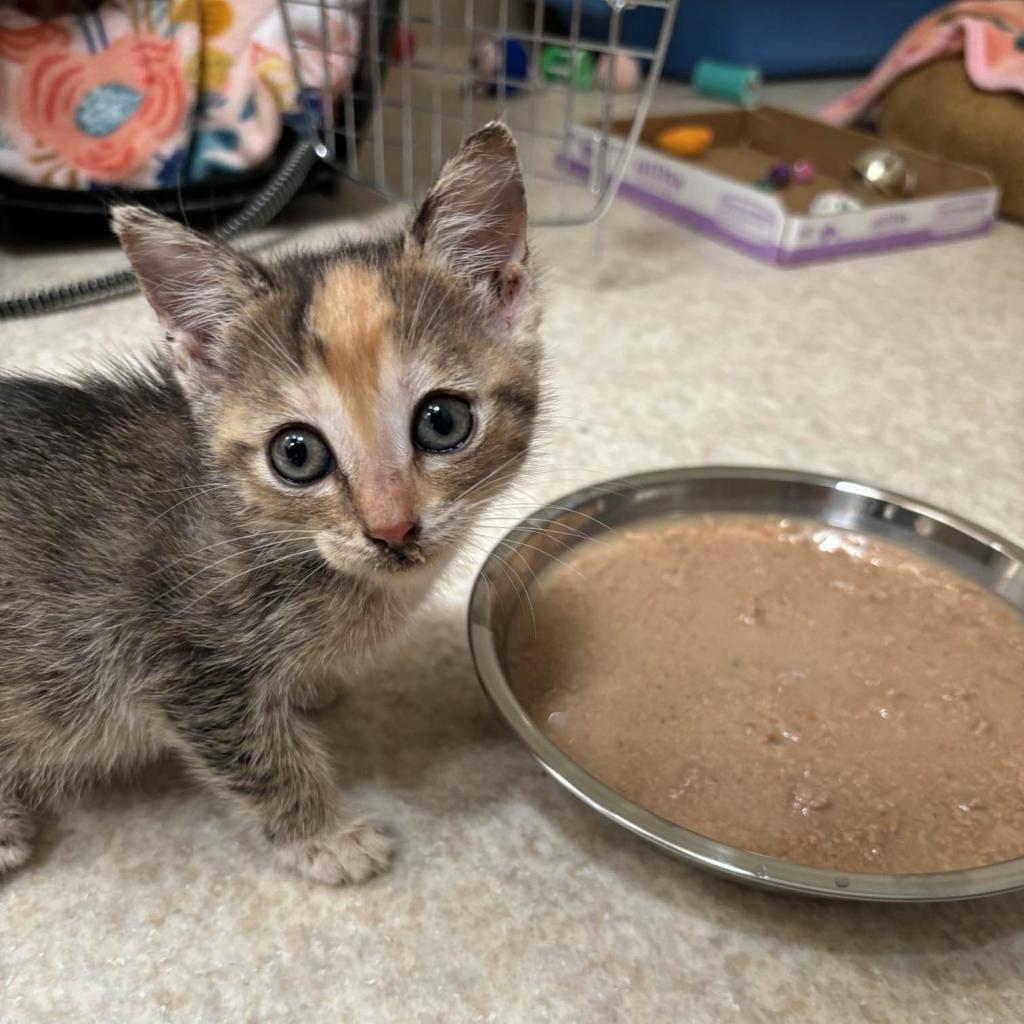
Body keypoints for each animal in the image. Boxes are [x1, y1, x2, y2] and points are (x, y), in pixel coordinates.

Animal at [0, 123, 544, 884]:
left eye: (443, 422)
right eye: (296, 454)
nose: (392, 528)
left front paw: (307, 687)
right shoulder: (184, 665)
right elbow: (260, 756)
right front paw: (325, 837)